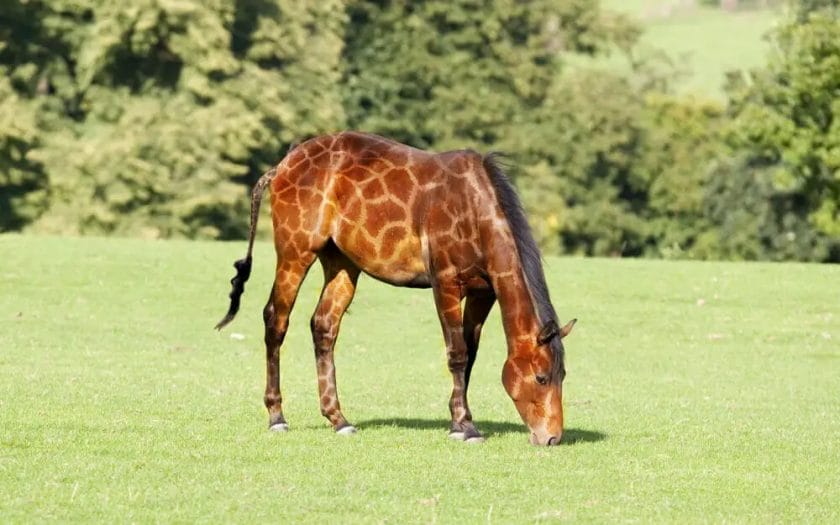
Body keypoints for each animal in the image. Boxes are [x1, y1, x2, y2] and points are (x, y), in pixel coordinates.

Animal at [216, 131, 576, 446]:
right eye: (542, 377)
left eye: (563, 375)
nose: (551, 438)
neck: (475, 212)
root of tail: (281, 166)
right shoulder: (445, 281)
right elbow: (457, 354)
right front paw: (465, 427)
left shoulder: (482, 291)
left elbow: (471, 355)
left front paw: (458, 421)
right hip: (296, 250)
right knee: (276, 320)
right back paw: (277, 416)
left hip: (341, 261)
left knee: (323, 326)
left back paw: (338, 419)